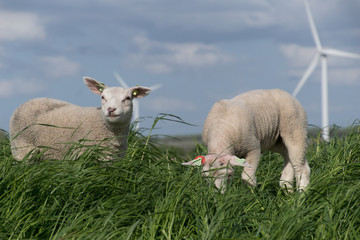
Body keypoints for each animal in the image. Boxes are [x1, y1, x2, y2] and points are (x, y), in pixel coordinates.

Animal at [181, 89, 310, 192]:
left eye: (229, 175)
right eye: (204, 176)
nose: (218, 194)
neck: (221, 132)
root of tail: (287, 94)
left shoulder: (253, 148)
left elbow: (247, 177)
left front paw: (251, 196)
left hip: (295, 128)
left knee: (301, 167)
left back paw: (300, 197)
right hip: (276, 140)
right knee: (289, 157)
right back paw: (287, 190)